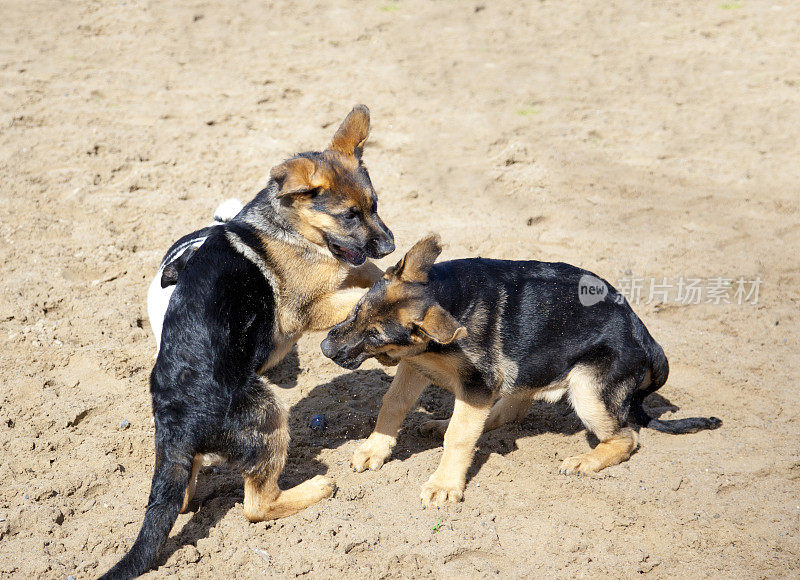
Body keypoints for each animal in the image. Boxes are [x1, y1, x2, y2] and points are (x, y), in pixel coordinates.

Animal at [101, 105, 396, 580]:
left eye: (374, 206)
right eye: (349, 215)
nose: (390, 245)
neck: (289, 227)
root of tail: (177, 426)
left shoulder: (342, 270)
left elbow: (364, 272)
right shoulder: (306, 308)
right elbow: (363, 290)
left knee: (181, 500)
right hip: (269, 412)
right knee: (257, 506)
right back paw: (315, 488)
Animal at [322, 236, 720, 508]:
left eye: (376, 336)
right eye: (356, 310)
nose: (326, 349)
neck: (450, 299)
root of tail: (646, 336)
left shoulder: (476, 384)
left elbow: (460, 437)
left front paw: (445, 484)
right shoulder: (417, 365)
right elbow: (393, 404)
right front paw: (375, 449)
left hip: (587, 389)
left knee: (626, 438)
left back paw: (587, 460)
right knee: (509, 411)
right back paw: (442, 422)